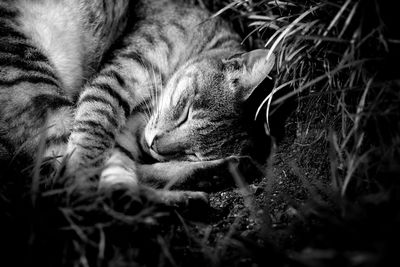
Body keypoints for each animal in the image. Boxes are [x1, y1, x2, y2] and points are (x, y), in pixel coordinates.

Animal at [0, 0, 276, 206]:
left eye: (193, 154)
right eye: (186, 113)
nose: (155, 145)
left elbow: (124, 165)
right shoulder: (118, 78)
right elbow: (94, 137)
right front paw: (81, 169)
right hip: (38, 87)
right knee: (73, 189)